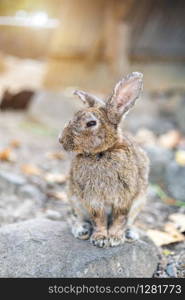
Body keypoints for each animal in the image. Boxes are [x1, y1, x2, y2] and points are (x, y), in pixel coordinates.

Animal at [58, 72, 150, 248]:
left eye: (91, 123)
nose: (61, 140)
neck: (103, 152)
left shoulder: (124, 198)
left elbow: (119, 218)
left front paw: (114, 238)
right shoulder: (92, 199)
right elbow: (98, 219)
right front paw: (100, 238)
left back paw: (130, 234)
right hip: (74, 199)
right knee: (79, 218)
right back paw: (82, 230)